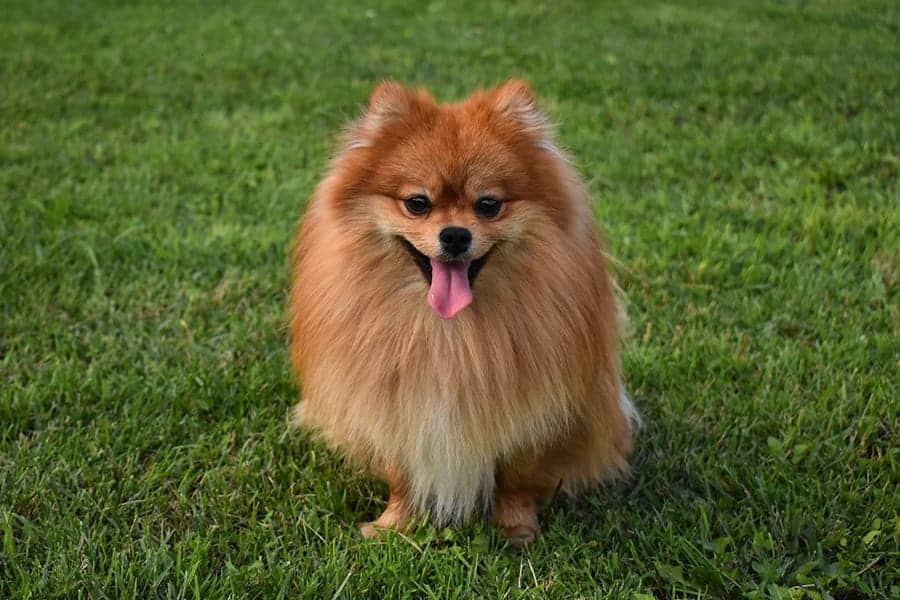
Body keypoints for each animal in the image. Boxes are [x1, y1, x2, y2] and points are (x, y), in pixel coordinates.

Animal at [292, 81, 636, 548]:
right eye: (417, 203)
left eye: (489, 205)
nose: (455, 235)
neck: (448, 333)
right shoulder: (395, 404)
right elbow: (401, 474)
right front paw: (393, 525)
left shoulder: (534, 411)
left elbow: (517, 478)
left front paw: (515, 529)